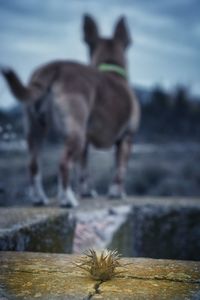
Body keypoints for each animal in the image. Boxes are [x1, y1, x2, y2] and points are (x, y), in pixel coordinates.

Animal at [0, 14, 140, 206]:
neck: (111, 68)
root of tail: (53, 67)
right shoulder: (127, 138)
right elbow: (120, 170)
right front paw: (117, 193)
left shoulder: (86, 144)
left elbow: (83, 170)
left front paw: (87, 192)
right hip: (76, 134)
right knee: (63, 163)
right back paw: (67, 199)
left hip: (35, 131)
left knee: (33, 165)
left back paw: (39, 198)